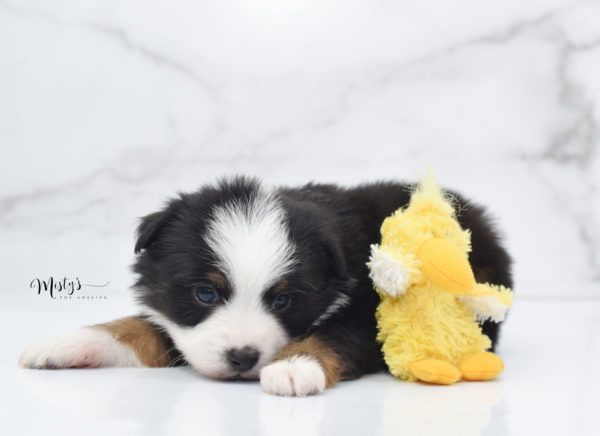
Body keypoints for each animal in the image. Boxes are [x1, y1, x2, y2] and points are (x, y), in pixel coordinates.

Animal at [18, 176, 510, 396]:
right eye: (205, 293)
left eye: (284, 299)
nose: (242, 358)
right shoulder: (179, 322)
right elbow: (137, 326)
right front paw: (65, 344)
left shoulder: (367, 309)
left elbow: (333, 334)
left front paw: (294, 366)